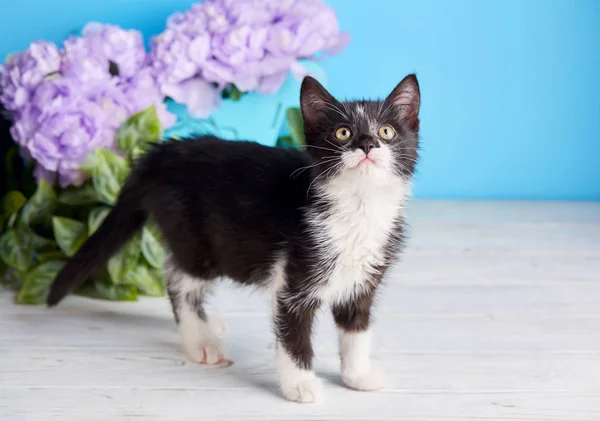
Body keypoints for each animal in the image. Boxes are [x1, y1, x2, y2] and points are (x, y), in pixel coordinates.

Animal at [47, 74, 420, 402]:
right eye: (343, 133)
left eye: (386, 131)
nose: (368, 144)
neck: (359, 208)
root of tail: (164, 152)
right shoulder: (295, 279)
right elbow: (293, 337)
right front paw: (300, 386)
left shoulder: (363, 280)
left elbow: (356, 330)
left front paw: (358, 375)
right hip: (198, 239)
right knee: (178, 278)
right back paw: (200, 340)